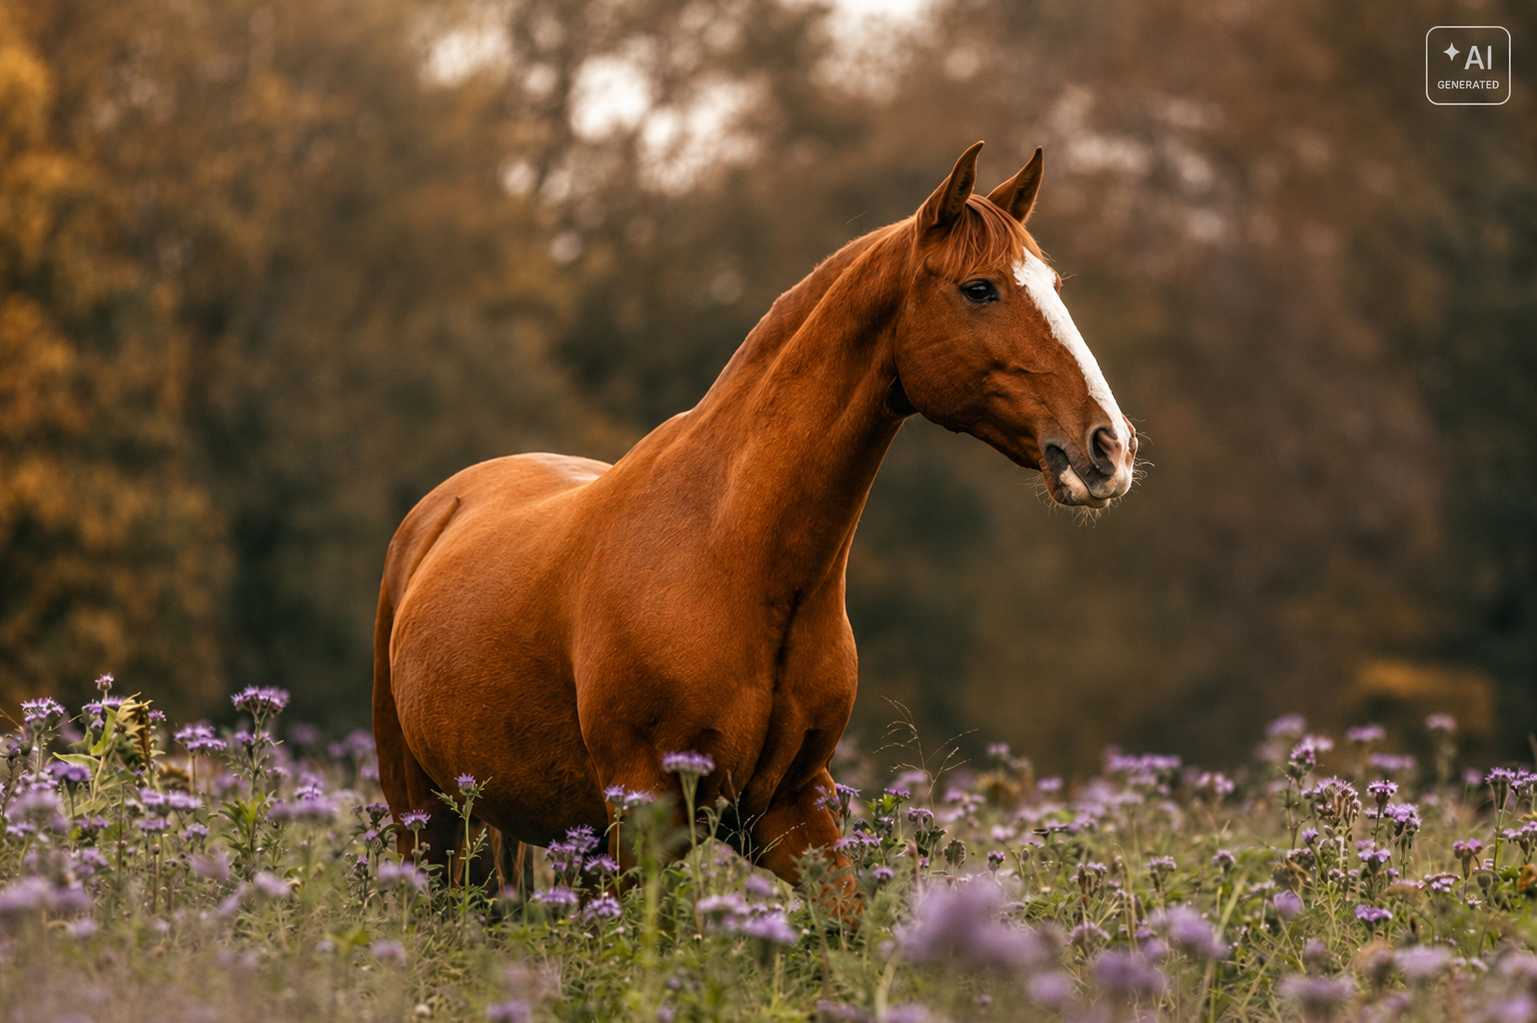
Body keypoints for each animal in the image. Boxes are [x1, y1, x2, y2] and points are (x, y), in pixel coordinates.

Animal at [372, 141, 1138, 890]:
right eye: (979, 288)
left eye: (1054, 285)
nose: (1109, 446)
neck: (734, 553)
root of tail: (441, 510)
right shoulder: (644, 813)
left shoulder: (787, 801)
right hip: (428, 820)